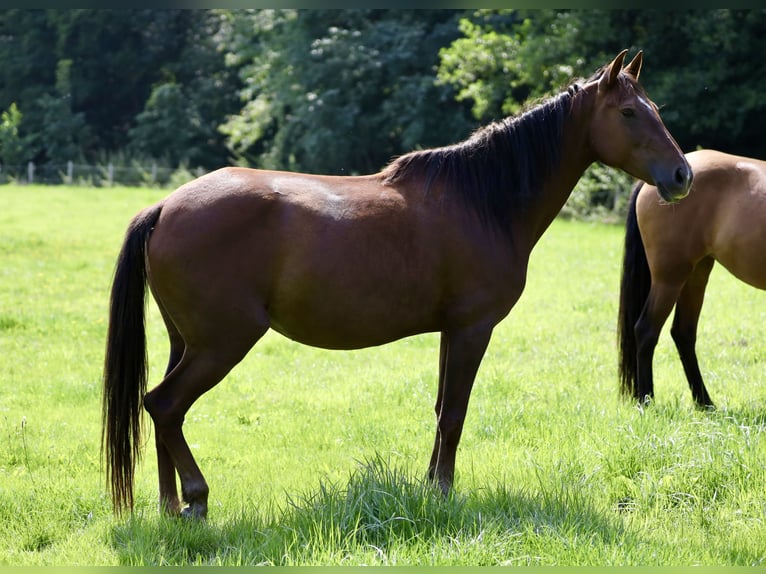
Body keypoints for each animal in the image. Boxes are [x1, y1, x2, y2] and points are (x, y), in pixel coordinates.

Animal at [102, 49, 692, 519]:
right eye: (628, 113)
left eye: (657, 111)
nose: (682, 175)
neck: (482, 200)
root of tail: (166, 207)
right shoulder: (473, 328)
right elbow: (455, 412)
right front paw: (445, 493)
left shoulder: (451, 331)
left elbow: (440, 410)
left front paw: (431, 487)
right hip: (222, 343)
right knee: (164, 405)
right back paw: (197, 499)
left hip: (185, 342)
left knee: (164, 413)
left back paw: (171, 505)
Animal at [618, 149, 766, 408]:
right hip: (669, 278)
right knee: (646, 330)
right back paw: (647, 401)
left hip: (696, 275)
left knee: (683, 333)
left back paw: (704, 402)